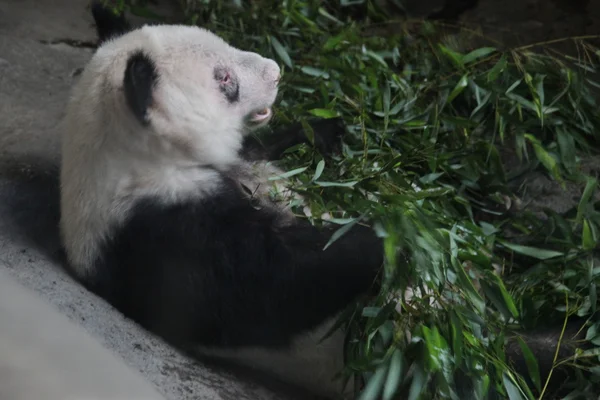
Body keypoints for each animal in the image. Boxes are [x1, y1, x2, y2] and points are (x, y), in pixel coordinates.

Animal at [59, 1, 384, 398]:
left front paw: (325, 131)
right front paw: (392, 240)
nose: (276, 72)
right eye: (224, 78)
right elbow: (271, 287)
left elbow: (259, 151)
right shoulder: (162, 232)